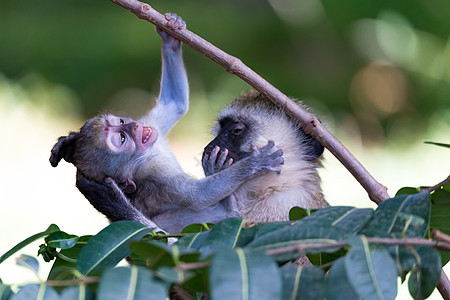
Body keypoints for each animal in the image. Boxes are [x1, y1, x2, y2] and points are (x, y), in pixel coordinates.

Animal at [50, 13, 284, 234]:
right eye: (122, 139)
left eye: (121, 122)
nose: (133, 127)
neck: (149, 152)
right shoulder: (153, 171)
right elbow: (198, 196)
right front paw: (254, 164)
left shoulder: (150, 125)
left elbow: (175, 102)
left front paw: (170, 36)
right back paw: (228, 203)